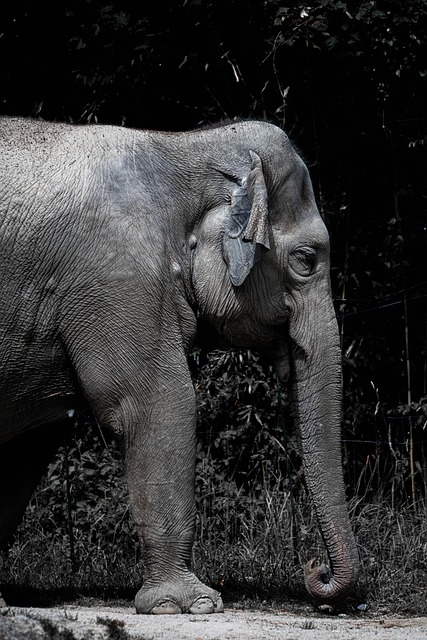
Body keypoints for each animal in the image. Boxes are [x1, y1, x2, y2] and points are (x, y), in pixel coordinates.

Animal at [0, 116, 360, 616]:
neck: (182, 147)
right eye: (306, 260)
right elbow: (160, 403)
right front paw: (192, 604)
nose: (315, 570)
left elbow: (29, 441)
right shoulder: (119, 278)